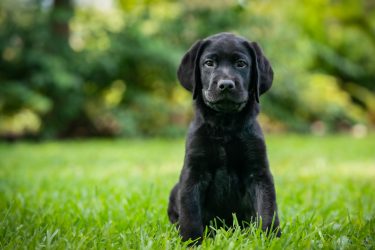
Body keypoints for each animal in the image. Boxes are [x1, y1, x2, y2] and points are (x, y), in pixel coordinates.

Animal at [169, 32, 280, 244]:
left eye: (241, 64)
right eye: (209, 63)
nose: (226, 85)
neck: (225, 126)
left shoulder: (259, 173)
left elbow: (267, 210)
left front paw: (269, 240)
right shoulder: (193, 172)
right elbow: (190, 213)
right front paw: (191, 241)